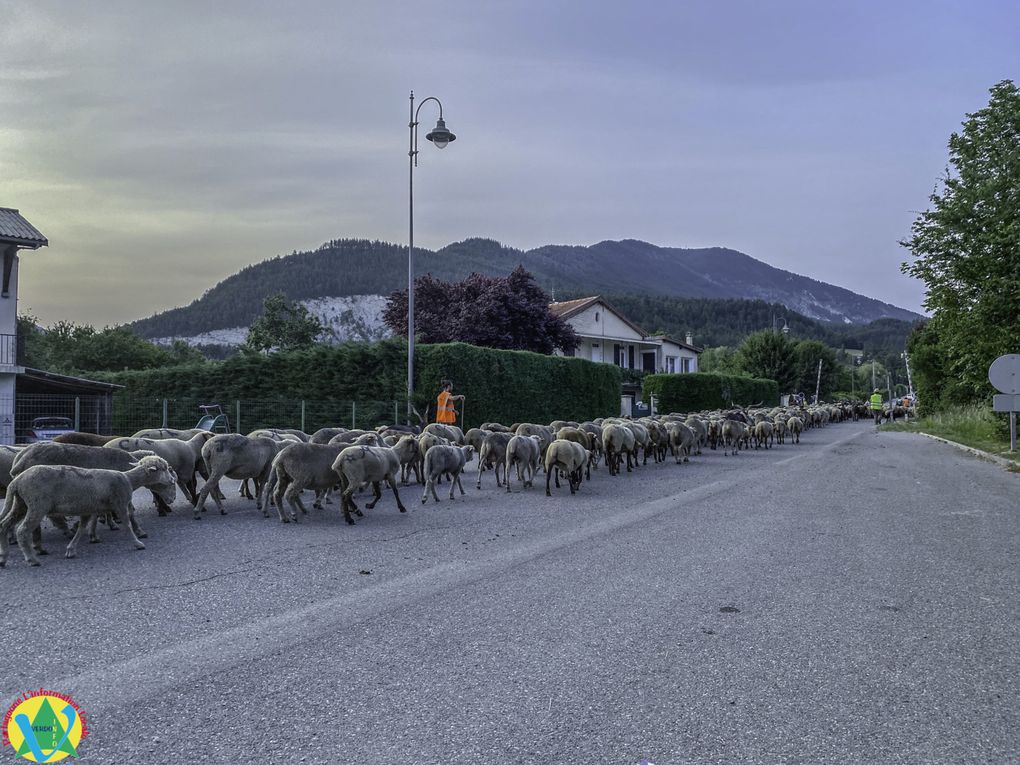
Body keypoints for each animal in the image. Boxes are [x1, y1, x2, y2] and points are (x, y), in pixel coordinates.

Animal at [0, 454, 176, 571]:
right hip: (37, 504)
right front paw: (138, 543)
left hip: (21, 503)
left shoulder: (89, 508)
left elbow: (82, 527)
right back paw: (32, 559)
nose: (172, 480)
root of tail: (16, 481)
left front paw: (71, 549)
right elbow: (127, 525)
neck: (129, 480)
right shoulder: (119, 503)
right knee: (22, 530)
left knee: (4, 525)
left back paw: (3, 558)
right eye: (163, 469)